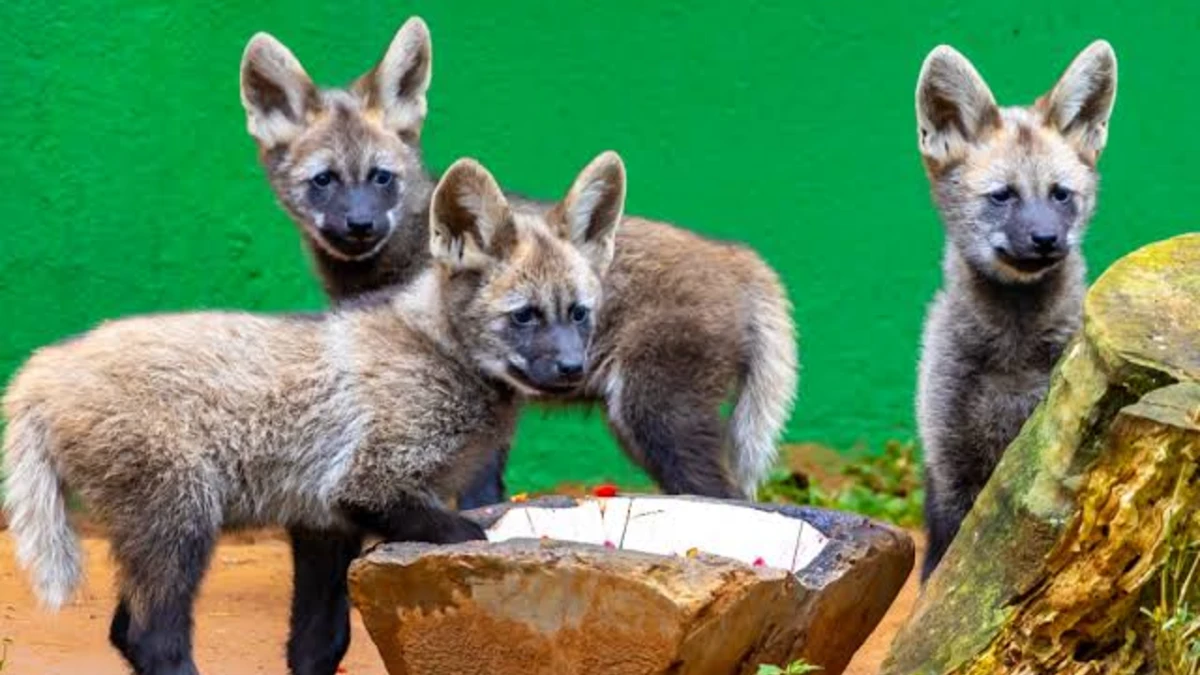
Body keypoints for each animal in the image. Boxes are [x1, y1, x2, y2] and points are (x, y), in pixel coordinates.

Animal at [2, 152, 625, 675]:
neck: (438, 352)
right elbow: (469, 533)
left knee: (126, 633)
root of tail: (38, 371)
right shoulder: (368, 487)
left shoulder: (323, 521)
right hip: (182, 521)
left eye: (578, 314)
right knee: (150, 640)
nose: (573, 368)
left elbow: (318, 646)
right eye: (525, 316)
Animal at [239, 17, 799, 508]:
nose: (361, 226)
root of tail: (741, 257)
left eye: (381, 177)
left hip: (655, 417)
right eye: (324, 180)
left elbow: (469, 495)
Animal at [914, 40, 1118, 581]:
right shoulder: (949, 466)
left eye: (1060, 194)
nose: (1047, 239)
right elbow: (940, 578)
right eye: (1002, 196)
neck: (1014, 351)